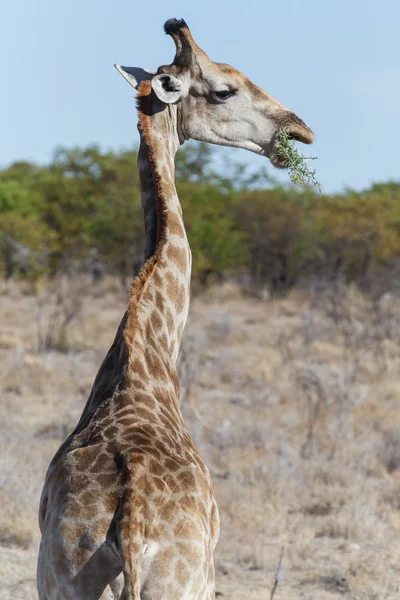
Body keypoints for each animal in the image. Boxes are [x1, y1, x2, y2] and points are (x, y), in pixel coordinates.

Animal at [36, 16, 312, 596]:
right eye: (225, 88)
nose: (300, 131)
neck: (151, 353)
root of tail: (131, 525)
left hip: (63, 576)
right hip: (188, 580)